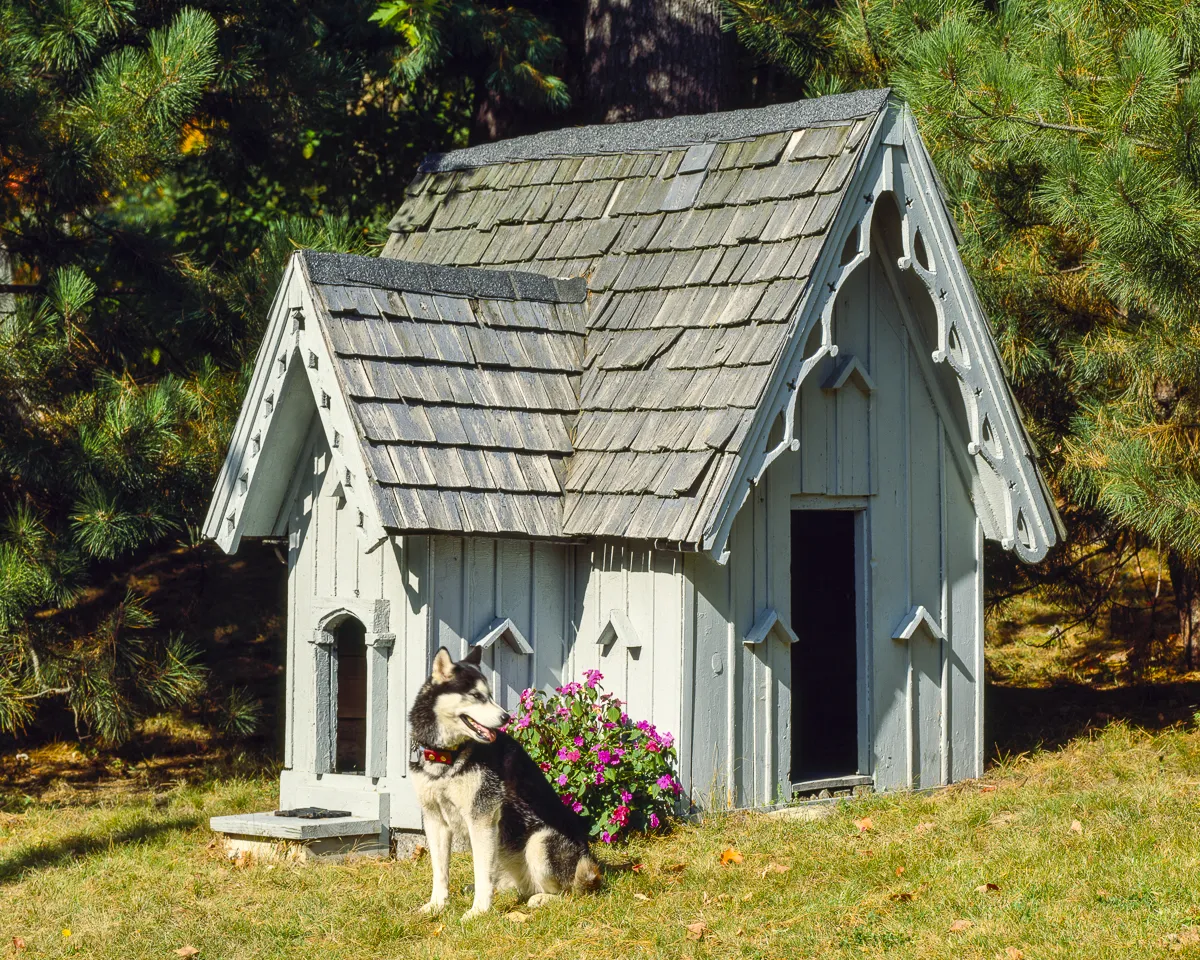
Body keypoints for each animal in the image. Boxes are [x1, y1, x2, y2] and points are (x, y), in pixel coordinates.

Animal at [412, 643, 604, 916]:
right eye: (476, 696)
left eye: (490, 695)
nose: (506, 718)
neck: (447, 757)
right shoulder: (434, 819)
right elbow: (440, 872)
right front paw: (437, 905)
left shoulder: (483, 818)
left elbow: (482, 872)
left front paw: (479, 911)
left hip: (539, 844)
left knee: (570, 893)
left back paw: (541, 898)